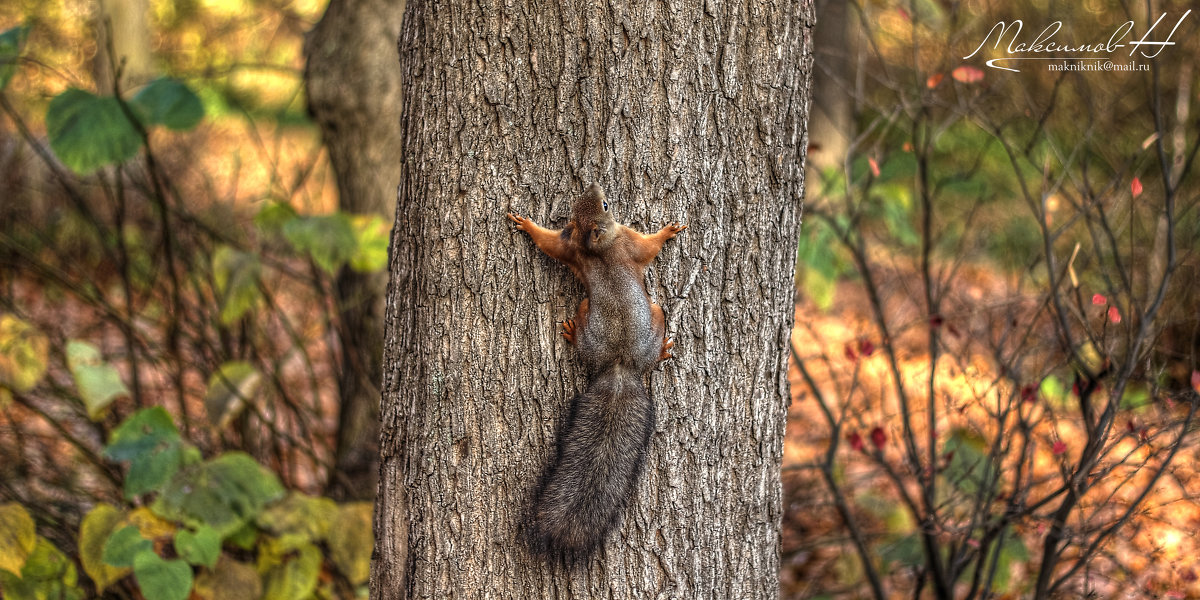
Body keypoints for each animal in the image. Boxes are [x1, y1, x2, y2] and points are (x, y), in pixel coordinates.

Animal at [508, 182, 691, 556]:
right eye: (605, 204)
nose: (593, 184)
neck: (597, 243)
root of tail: (620, 364)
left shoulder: (571, 246)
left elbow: (551, 243)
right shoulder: (628, 241)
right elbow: (650, 246)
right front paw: (667, 232)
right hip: (636, 310)